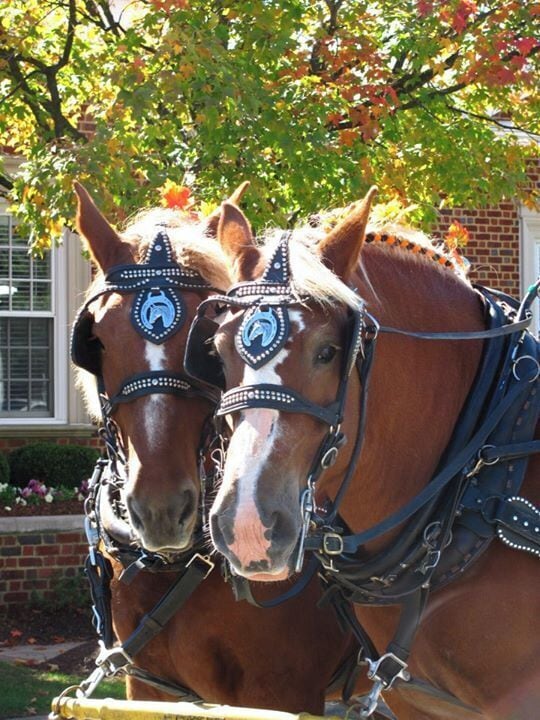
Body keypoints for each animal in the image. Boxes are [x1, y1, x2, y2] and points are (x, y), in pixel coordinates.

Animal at [71, 183, 354, 714]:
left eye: (202, 341)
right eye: (97, 339)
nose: (161, 509)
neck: (174, 568)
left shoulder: (280, 692)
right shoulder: (146, 686)